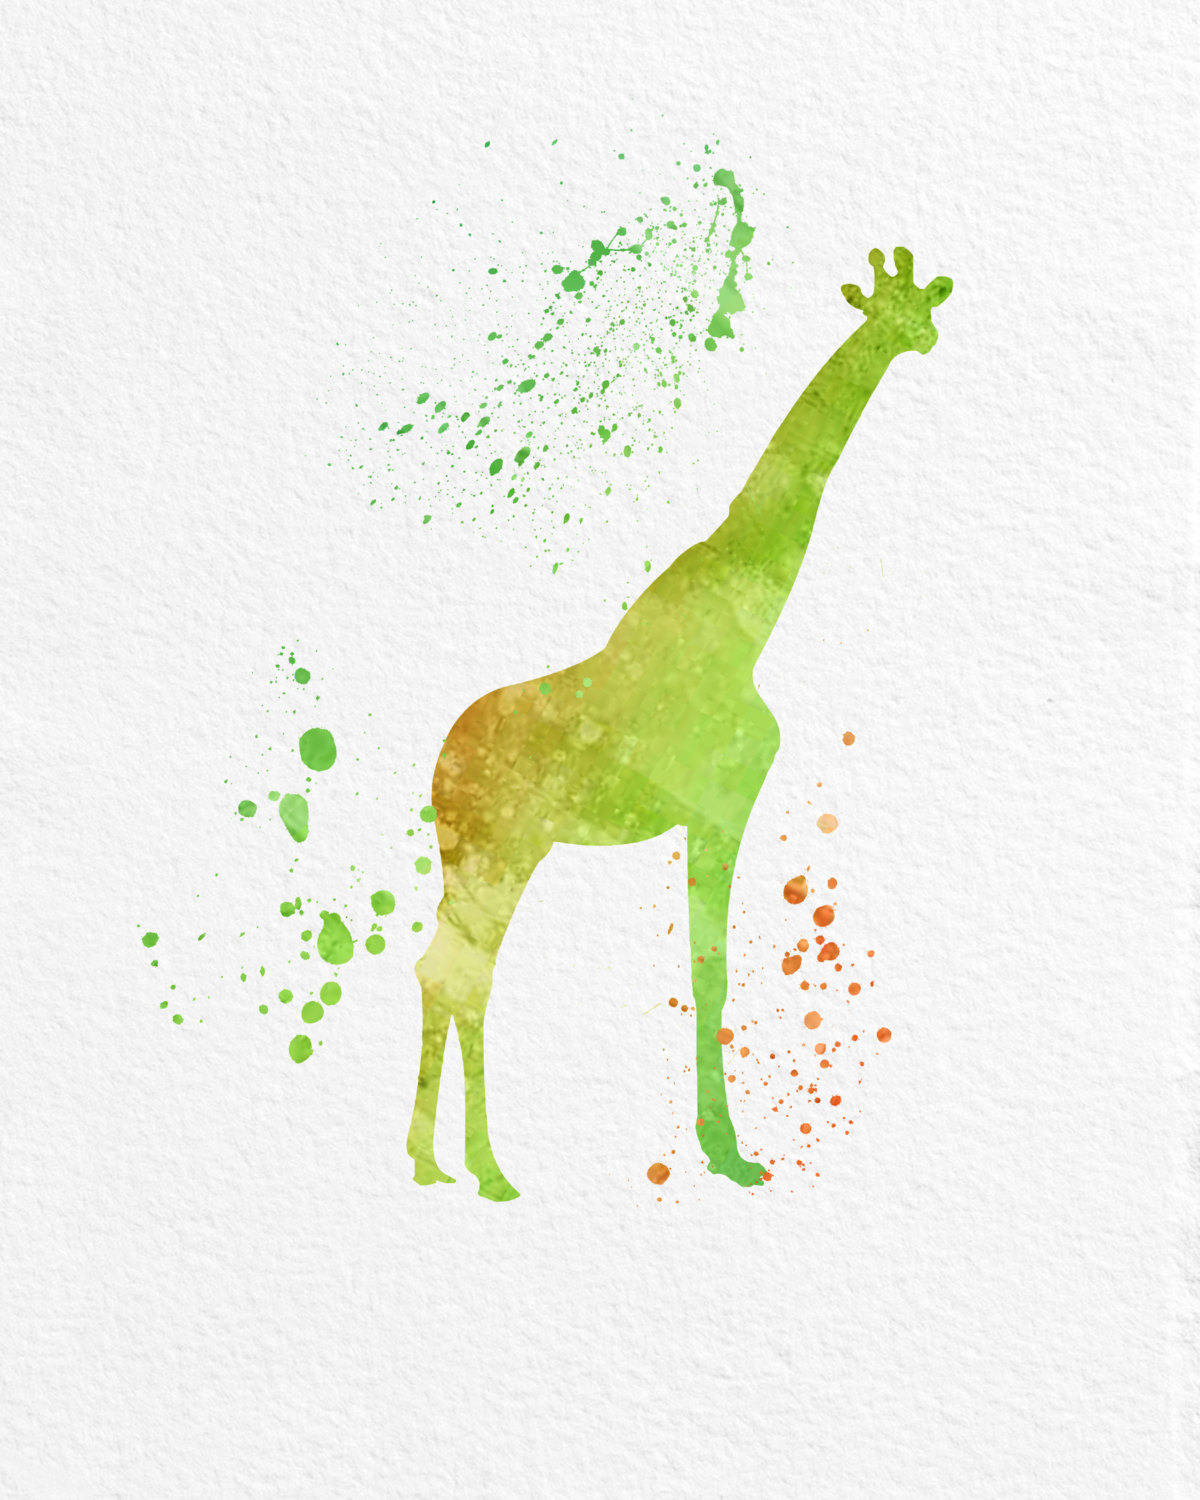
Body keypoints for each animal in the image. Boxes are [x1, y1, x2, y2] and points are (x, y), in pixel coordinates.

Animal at [407, 247, 952, 1199]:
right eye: (887, 310)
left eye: (921, 303)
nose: (922, 334)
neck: (748, 621)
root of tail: (437, 767)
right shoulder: (722, 806)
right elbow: (713, 975)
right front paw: (731, 1156)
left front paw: (720, 1149)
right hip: (499, 849)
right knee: (462, 972)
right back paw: (482, 1168)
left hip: (487, 854)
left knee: (447, 970)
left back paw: (442, 1163)